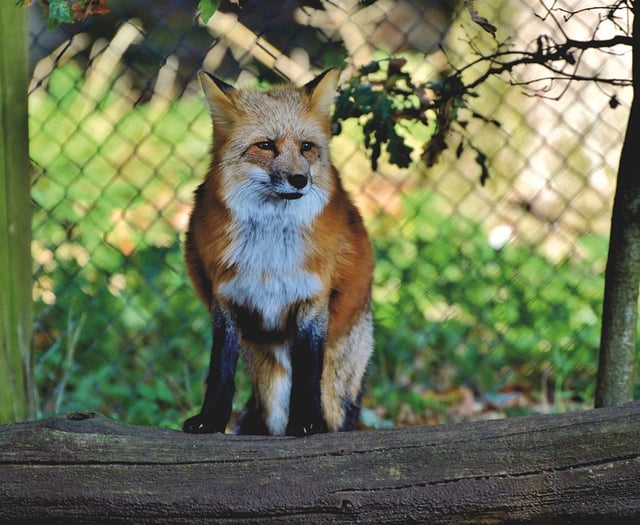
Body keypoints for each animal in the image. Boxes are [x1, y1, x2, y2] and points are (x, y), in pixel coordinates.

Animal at [182, 67, 374, 436]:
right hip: (269, 384)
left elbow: (308, 376)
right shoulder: (225, 298)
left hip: (336, 385)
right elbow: (220, 372)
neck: (270, 254)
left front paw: (308, 423)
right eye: (266, 145)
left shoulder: (312, 301)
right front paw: (210, 420)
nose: (300, 180)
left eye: (306, 147)